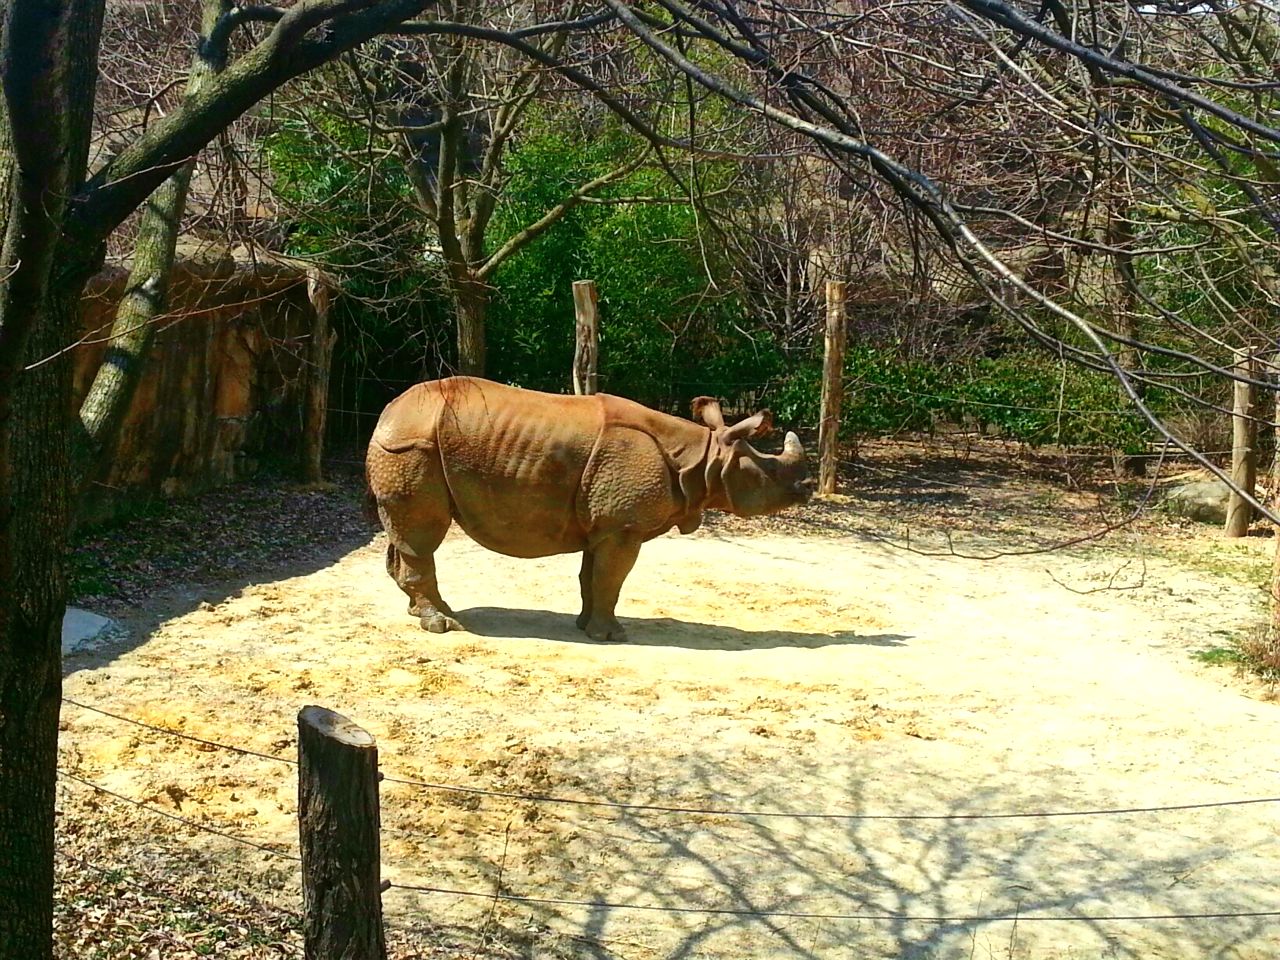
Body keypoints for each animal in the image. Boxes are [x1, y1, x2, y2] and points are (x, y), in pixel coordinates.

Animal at [365, 376, 810, 642]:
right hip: (411, 446)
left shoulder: (606, 525)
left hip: (411, 443)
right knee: (424, 535)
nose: (806, 488)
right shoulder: (624, 528)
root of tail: (387, 412)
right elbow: (611, 579)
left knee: (405, 535)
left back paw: (423, 614)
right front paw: (612, 636)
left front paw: (587, 627)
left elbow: (592, 577)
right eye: (770, 472)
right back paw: (442, 625)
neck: (704, 458)